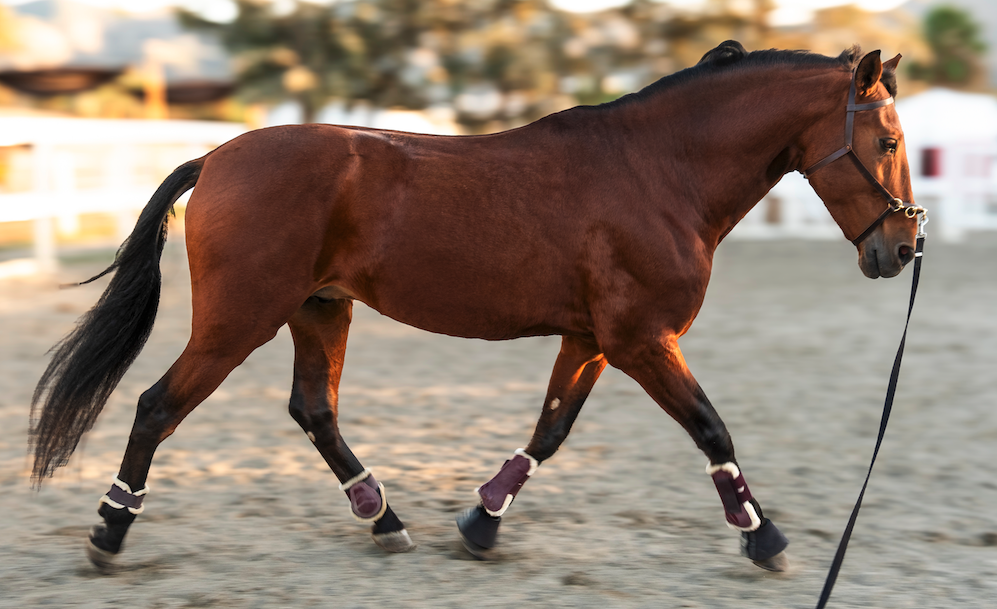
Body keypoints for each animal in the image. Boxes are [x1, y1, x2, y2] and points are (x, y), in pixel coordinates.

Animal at [30, 41, 922, 572]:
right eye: (886, 142)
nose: (901, 250)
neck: (658, 172)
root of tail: (216, 157)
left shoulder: (592, 339)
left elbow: (550, 431)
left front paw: (482, 519)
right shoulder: (641, 338)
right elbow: (711, 427)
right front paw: (762, 536)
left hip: (319, 308)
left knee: (312, 409)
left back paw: (383, 517)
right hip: (237, 320)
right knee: (157, 405)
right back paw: (109, 530)